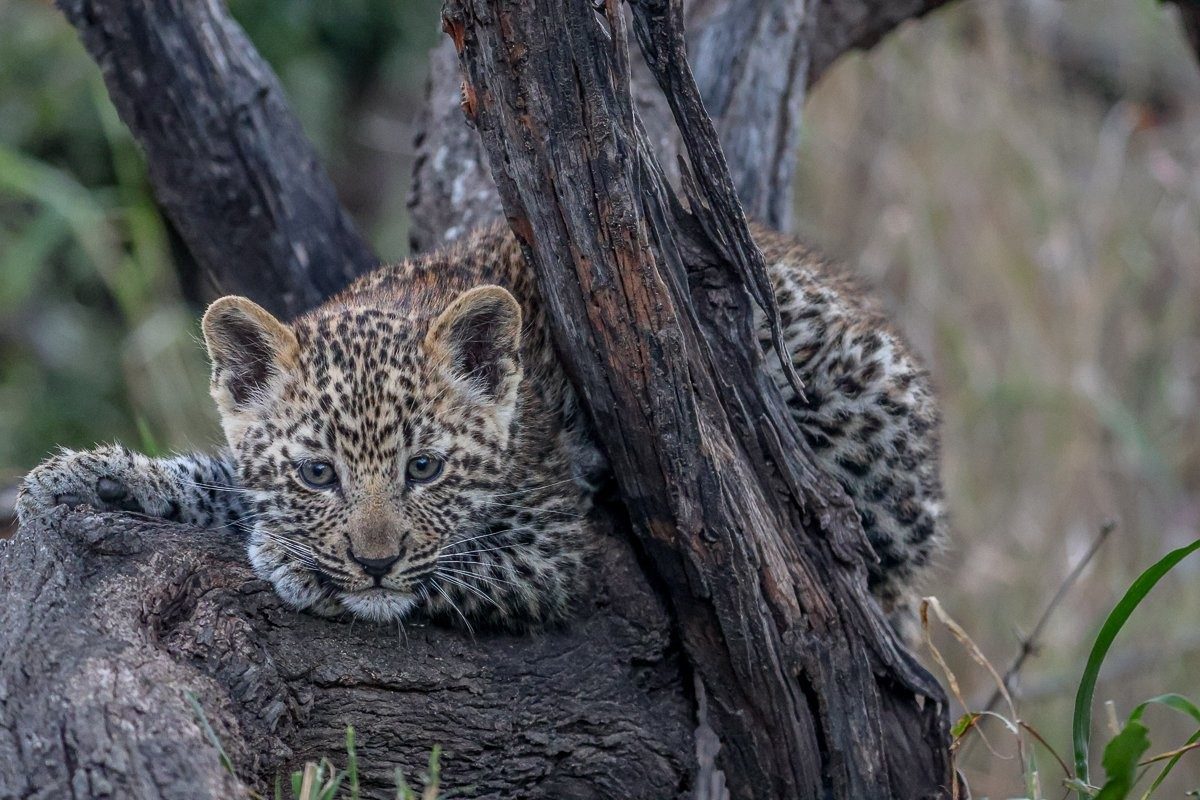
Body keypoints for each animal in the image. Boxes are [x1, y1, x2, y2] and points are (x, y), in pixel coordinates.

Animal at [15, 224, 944, 631]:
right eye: (319, 474)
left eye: (426, 470)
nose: (374, 562)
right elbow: (219, 484)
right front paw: (84, 476)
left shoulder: (546, 542)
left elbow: (457, 565)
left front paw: (303, 567)